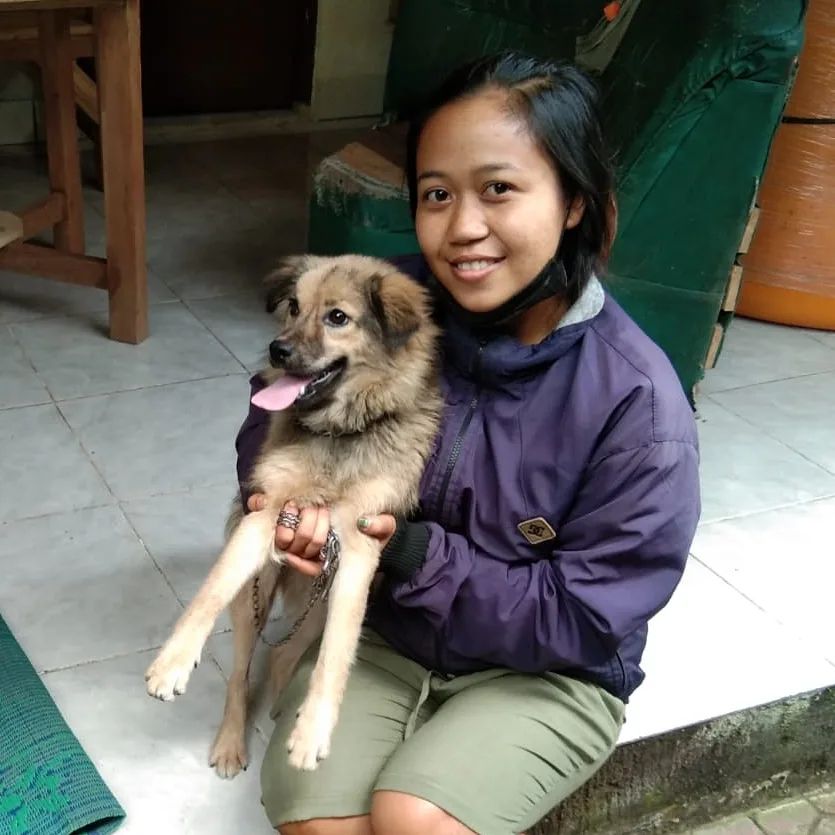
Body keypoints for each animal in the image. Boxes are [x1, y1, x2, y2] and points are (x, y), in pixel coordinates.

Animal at [146, 256, 440, 776]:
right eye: (294, 307)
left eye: (338, 317)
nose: (276, 350)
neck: (339, 435)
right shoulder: (266, 514)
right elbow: (211, 590)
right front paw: (173, 661)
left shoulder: (360, 549)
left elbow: (336, 654)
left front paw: (313, 731)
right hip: (257, 593)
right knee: (240, 675)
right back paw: (232, 740)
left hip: (324, 603)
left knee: (288, 654)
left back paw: (286, 702)